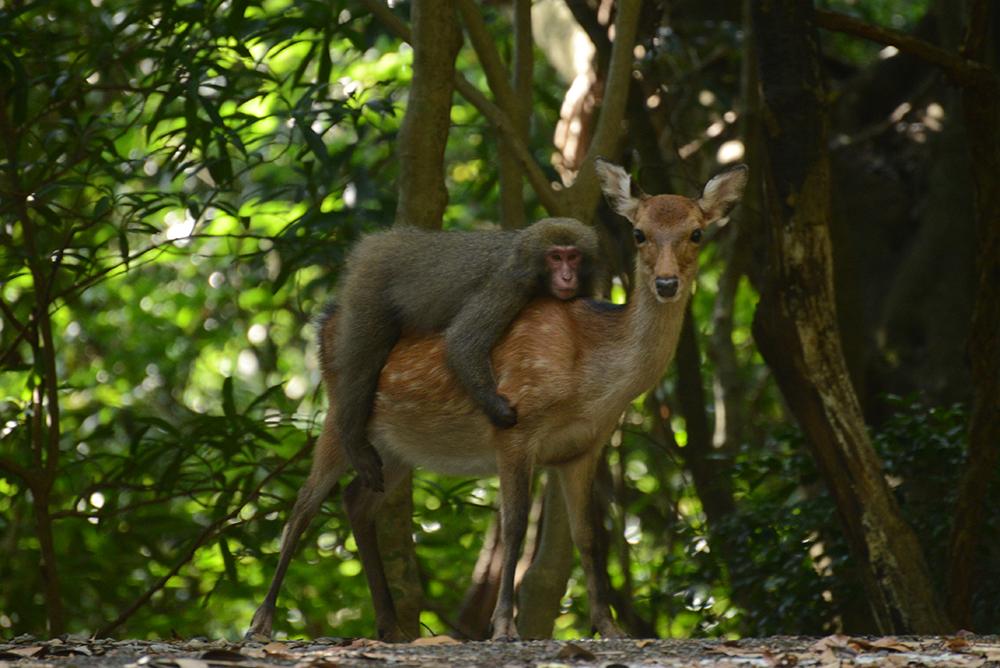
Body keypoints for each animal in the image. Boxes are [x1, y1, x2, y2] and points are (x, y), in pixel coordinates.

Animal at [330, 219, 600, 490]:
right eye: (556, 257)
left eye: (573, 257)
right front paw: (497, 408)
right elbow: (463, 341)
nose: (567, 277)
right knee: (363, 361)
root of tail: (382, 241)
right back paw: (352, 438)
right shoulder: (509, 284)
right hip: (369, 286)